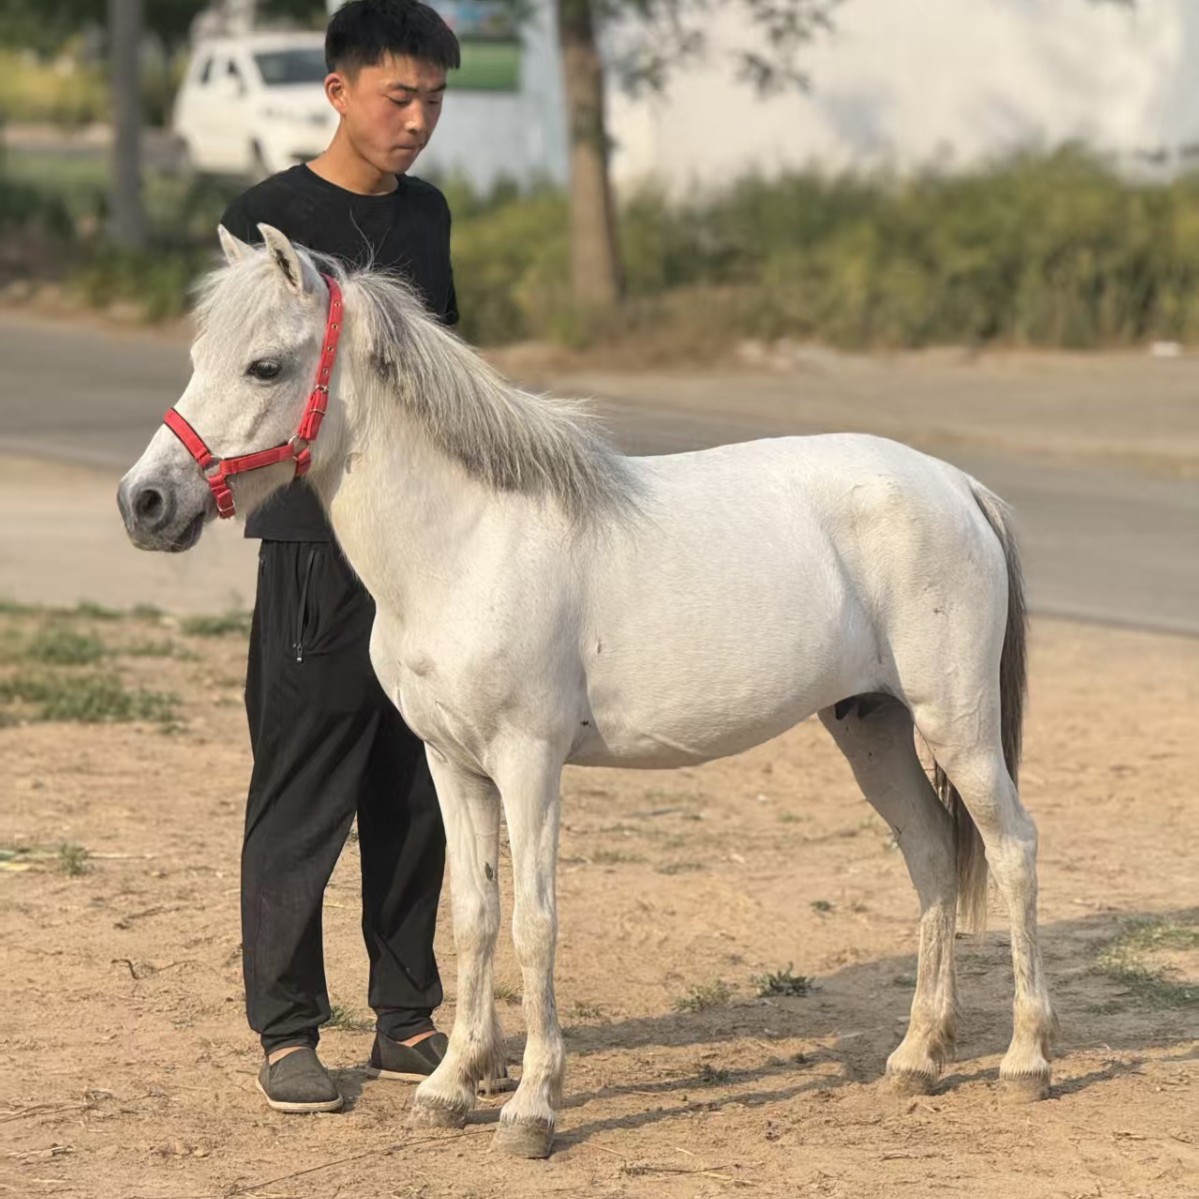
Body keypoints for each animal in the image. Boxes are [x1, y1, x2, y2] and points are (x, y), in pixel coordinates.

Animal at [118, 225, 1054, 1159]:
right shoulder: (451, 763)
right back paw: (916, 1059)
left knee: (1010, 849)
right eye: (199, 356)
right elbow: (472, 914)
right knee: (930, 853)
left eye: (265, 366)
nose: (145, 501)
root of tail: (954, 485)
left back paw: (1025, 1062)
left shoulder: (528, 763)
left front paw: (532, 1106)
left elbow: (534, 923)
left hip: (956, 724)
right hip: (872, 726)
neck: (467, 541)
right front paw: (449, 1086)